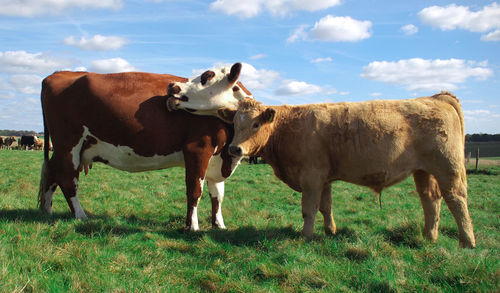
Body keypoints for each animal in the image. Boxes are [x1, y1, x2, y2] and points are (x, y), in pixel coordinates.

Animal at [38, 62, 250, 230]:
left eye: (207, 75)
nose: (171, 85)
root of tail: (57, 74)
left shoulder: (217, 158)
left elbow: (218, 195)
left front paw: (219, 225)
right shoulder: (197, 149)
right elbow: (195, 191)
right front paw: (193, 227)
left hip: (65, 149)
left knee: (52, 173)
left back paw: (46, 210)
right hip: (68, 144)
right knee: (67, 179)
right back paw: (81, 215)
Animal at [220, 92, 476, 248]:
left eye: (255, 124)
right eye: (234, 125)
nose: (234, 148)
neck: (286, 127)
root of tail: (436, 97)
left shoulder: (311, 177)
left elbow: (309, 210)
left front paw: (306, 236)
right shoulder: (324, 179)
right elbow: (326, 207)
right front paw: (330, 231)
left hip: (448, 167)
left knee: (456, 199)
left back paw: (467, 242)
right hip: (423, 171)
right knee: (431, 200)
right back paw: (429, 237)